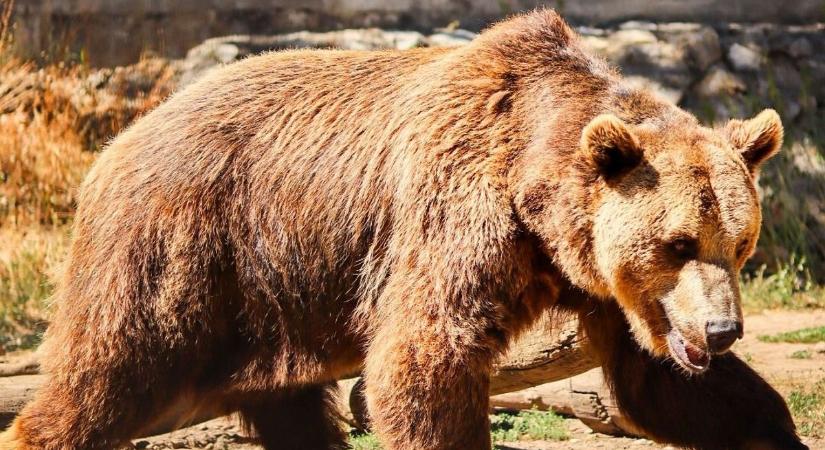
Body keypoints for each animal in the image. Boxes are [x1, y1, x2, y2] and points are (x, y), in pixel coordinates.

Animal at [0, 8, 800, 450]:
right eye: (676, 243)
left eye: (739, 244)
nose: (721, 331)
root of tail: (123, 137)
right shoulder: (457, 217)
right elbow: (423, 361)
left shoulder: (607, 287)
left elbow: (659, 385)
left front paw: (771, 428)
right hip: (181, 249)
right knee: (111, 372)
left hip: (273, 298)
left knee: (290, 411)